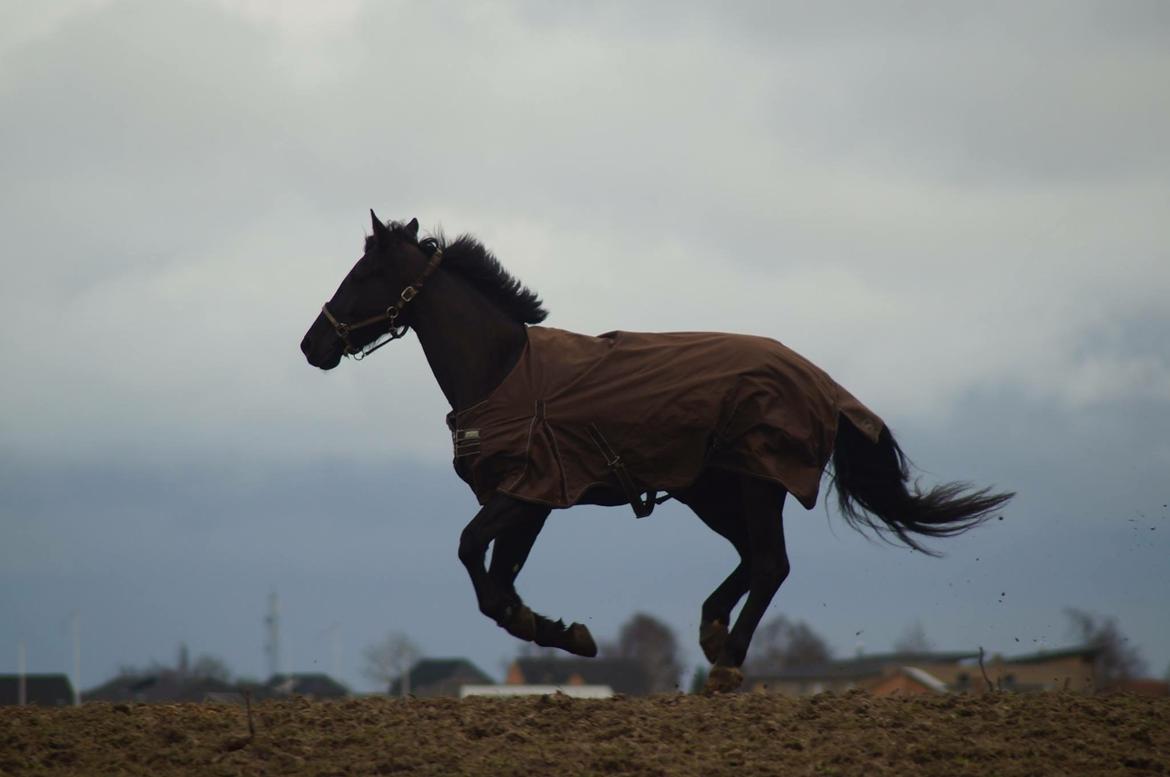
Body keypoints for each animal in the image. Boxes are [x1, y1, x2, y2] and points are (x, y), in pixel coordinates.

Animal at [301, 212, 1015, 692]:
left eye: (364, 272)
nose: (314, 344)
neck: (505, 371)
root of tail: (823, 383)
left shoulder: (527, 490)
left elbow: (472, 553)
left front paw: (550, 628)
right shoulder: (530, 499)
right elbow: (498, 578)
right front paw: (556, 630)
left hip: (759, 483)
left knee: (771, 564)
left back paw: (726, 663)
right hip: (713, 492)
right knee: (752, 560)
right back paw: (712, 630)